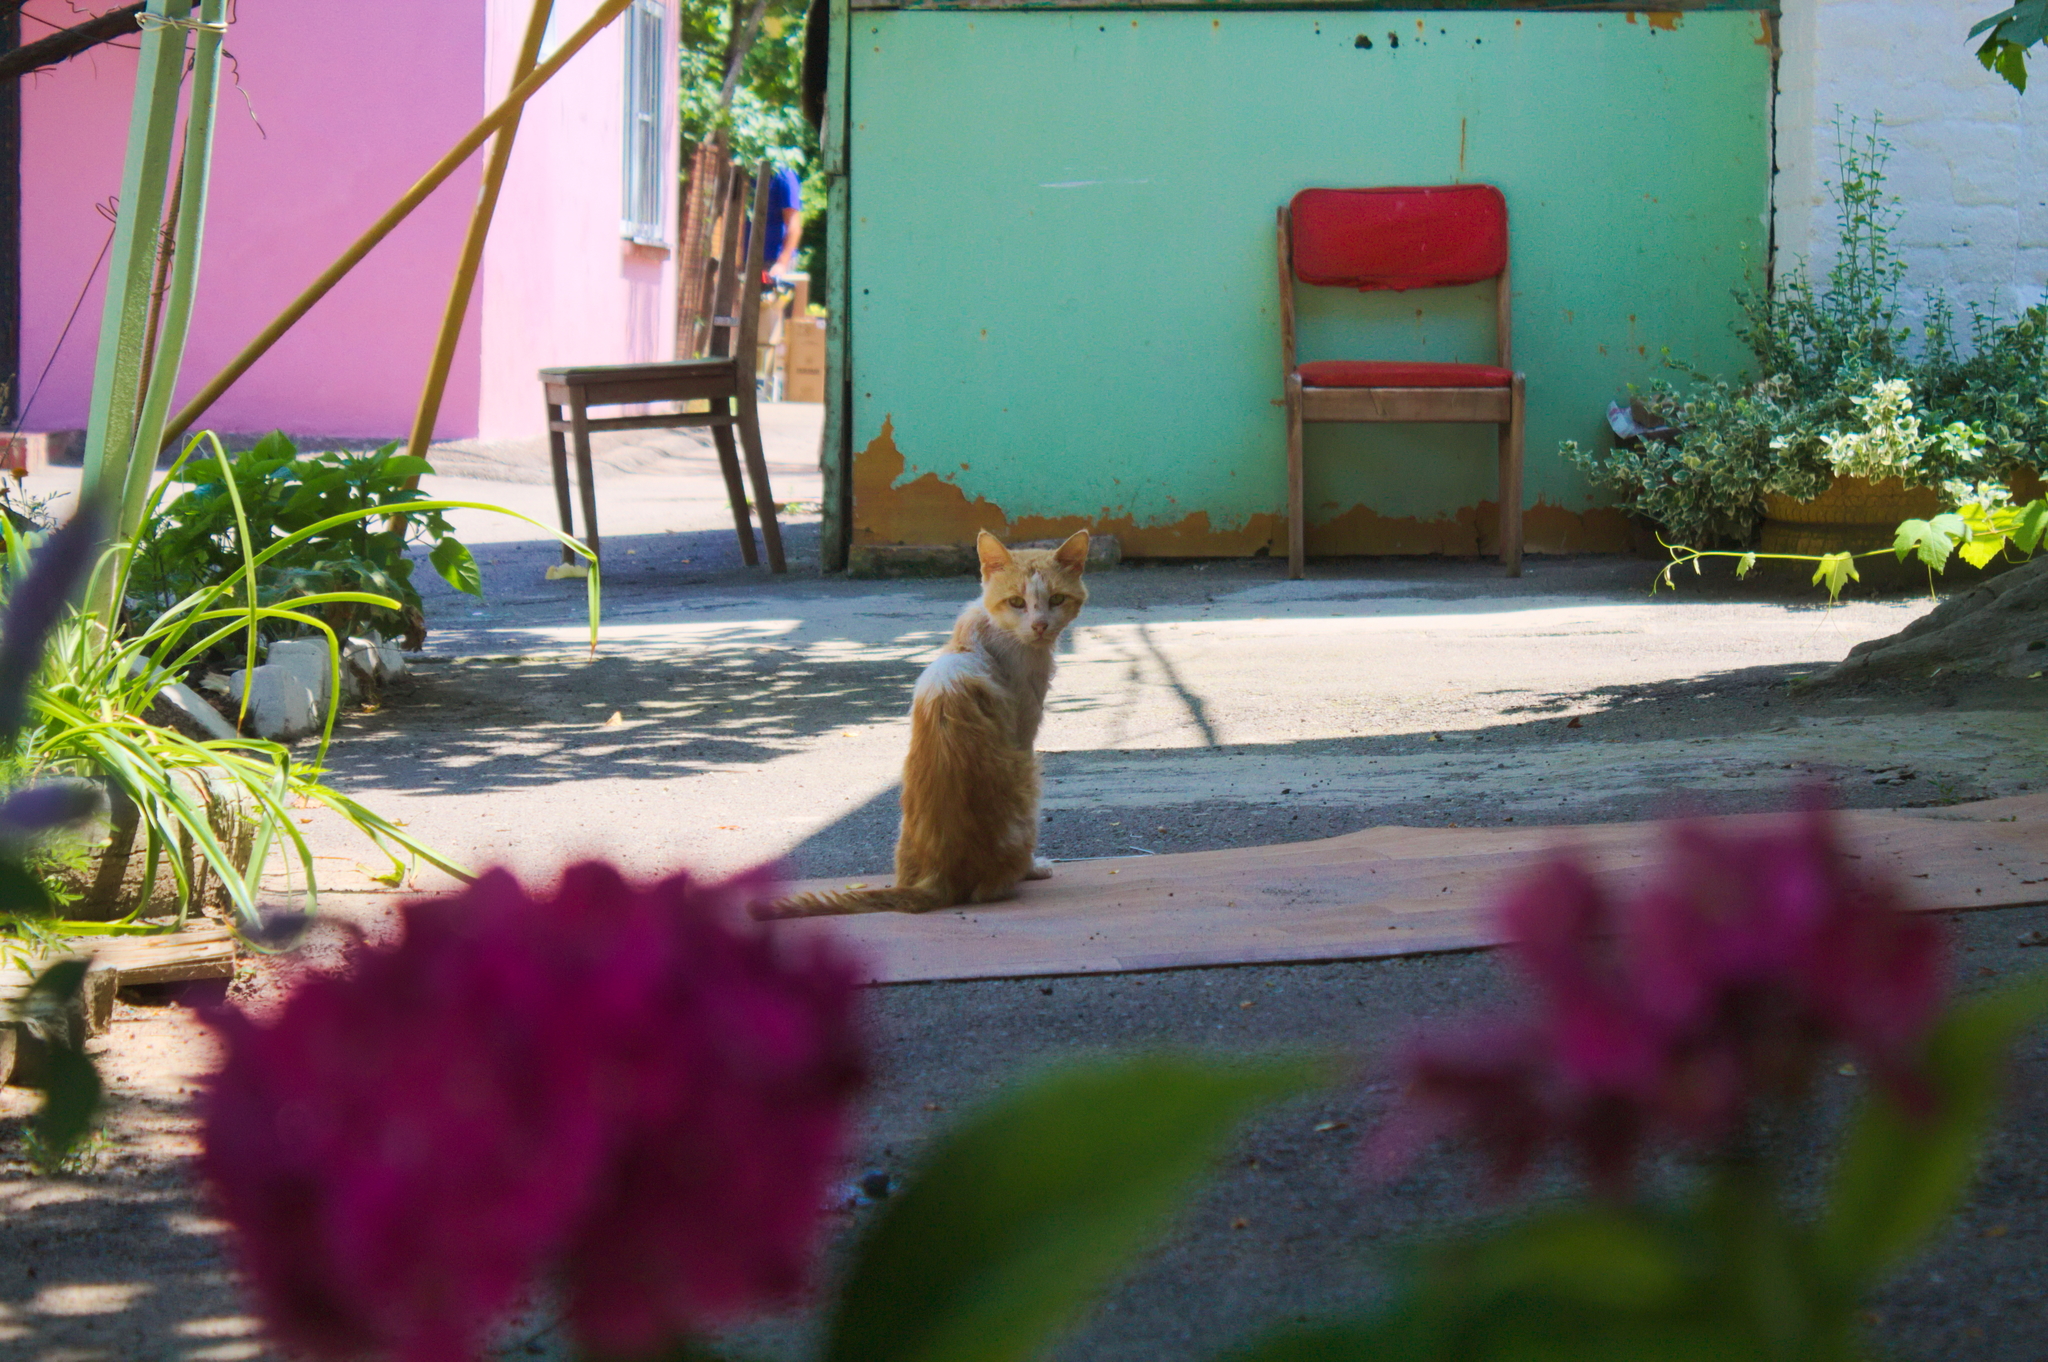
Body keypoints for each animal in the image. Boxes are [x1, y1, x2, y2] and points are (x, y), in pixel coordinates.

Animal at [757, 524, 1089, 917]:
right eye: (1017, 603)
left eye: (1057, 599)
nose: (1040, 626)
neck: (984, 632)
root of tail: (936, 878)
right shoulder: (1024, 730)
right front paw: (1037, 867)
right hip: (1027, 774)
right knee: (991, 889)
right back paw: (1024, 871)